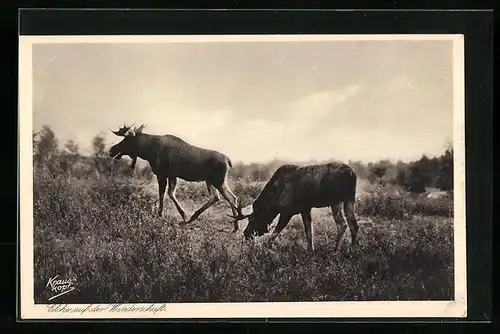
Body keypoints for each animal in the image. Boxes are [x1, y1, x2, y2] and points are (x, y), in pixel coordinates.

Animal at [110, 124, 242, 231]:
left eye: (126, 139)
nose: (112, 150)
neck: (149, 152)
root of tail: (228, 161)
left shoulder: (162, 174)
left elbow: (162, 195)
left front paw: (160, 215)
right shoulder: (172, 176)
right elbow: (171, 193)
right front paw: (183, 215)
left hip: (217, 181)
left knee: (229, 198)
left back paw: (235, 226)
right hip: (212, 181)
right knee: (220, 197)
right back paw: (192, 219)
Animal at [230, 162, 360, 250]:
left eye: (251, 218)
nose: (246, 234)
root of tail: (352, 174)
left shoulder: (287, 211)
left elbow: (276, 231)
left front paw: (265, 246)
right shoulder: (305, 208)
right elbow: (309, 232)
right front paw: (310, 250)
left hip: (335, 201)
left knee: (342, 225)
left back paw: (336, 250)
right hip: (349, 199)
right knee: (354, 224)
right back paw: (353, 248)